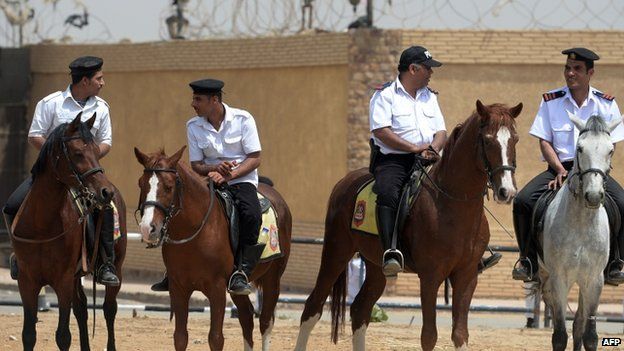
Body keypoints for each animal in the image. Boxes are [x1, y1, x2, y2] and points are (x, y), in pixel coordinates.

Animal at [11, 114, 127, 350]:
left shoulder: (62, 281)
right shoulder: (27, 281)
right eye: (78, 153)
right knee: (82, 310)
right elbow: (28, 334)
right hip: (75, 277)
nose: (106, 192)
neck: (42, 226)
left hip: (115, 269)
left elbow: (63, 336)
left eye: (97, 151)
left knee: (109, 310)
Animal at [133, 146, 292, 351]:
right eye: (141, 184)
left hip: (272, 278)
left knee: (265, 321)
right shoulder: (178, 288)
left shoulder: (216, 289)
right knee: (246, 317)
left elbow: (216, 338)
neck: (196, 230)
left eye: (168, 186)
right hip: (237, 288)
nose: (148, 228)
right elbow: (180, 337)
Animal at [292, 101, 520, 351]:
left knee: (360, 310)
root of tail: (344, 182)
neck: (451, 203)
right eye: (488, 140)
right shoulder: (430, 277)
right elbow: (429, 336)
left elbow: (460, 334)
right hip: (336, 253)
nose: (506, 191)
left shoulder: (467, 275)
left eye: (515, 140)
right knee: (313, 306)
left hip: (376, 266)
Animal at [540, 115, 620, 351]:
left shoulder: (594, 280)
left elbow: (589, 334)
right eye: (580, 148)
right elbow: (559, 335)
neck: (581, 223)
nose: (593, 196)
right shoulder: (559, 279)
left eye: (610, 150)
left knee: (578, 324)